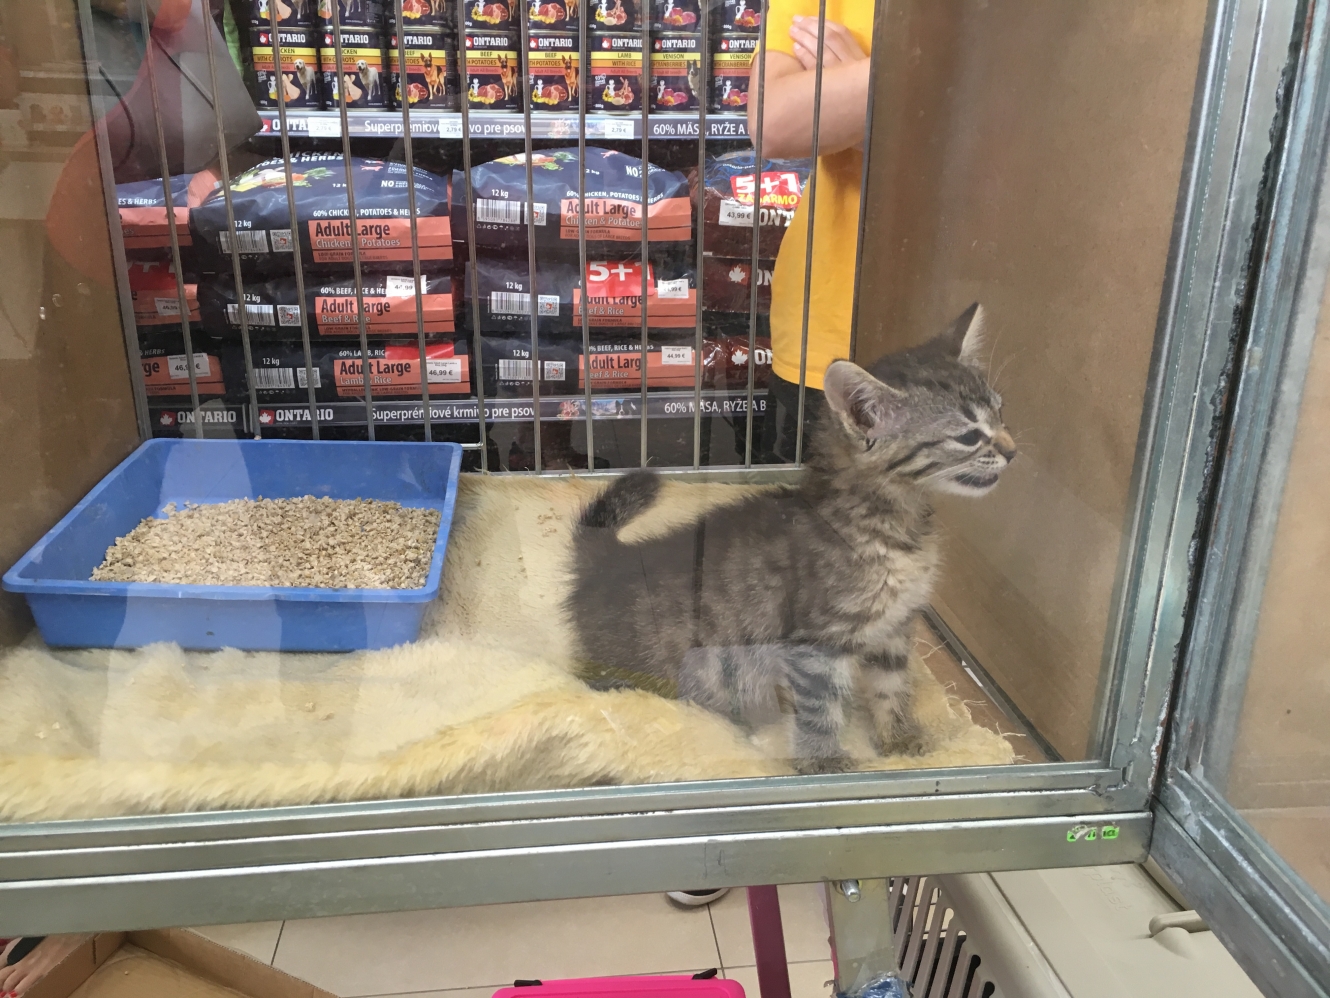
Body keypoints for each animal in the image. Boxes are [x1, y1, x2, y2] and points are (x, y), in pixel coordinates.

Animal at [565, 303, 1015, 773]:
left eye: (1002, 414)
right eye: (969, 435)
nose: (1012, 449)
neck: (896, 524)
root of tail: (611, 557)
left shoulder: (894, 628)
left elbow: (892, 687)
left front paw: (901, 739)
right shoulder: (817, 643)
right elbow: (820, 707)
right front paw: (825, 762)